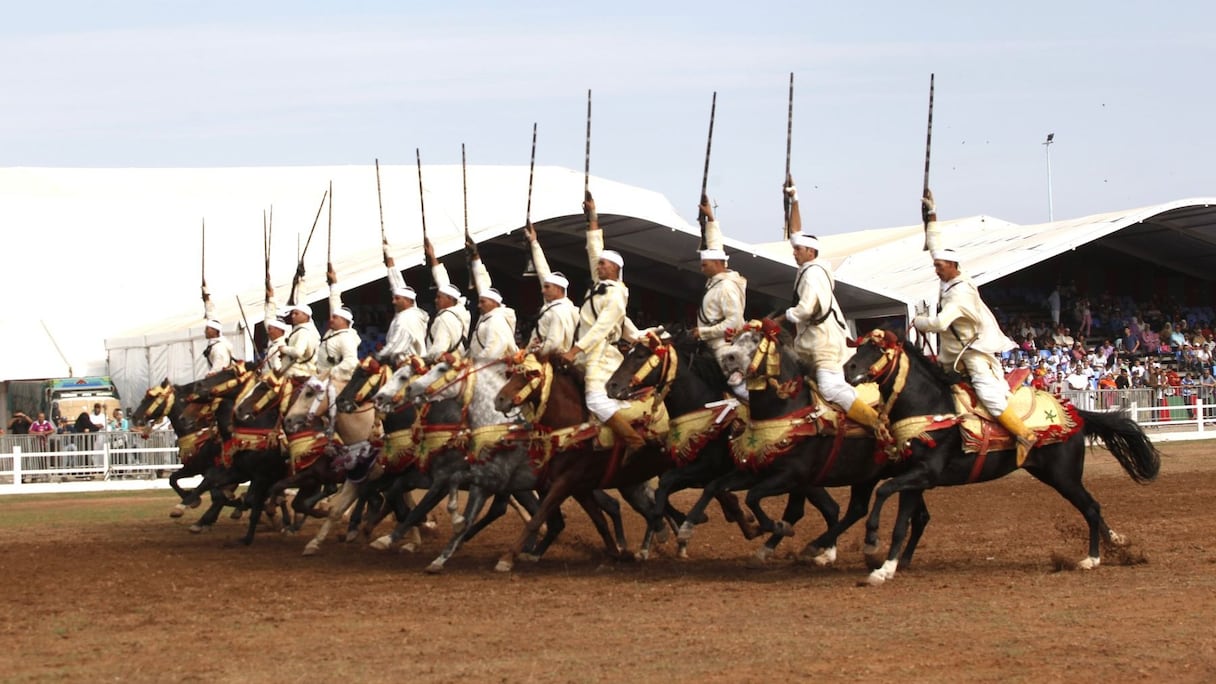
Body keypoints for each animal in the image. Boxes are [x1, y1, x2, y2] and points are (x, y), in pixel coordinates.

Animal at [846, 328, 1157, 584]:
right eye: (859, 346)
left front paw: (871, 540)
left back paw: (1092, 559)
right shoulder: (914, 477)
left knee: (1091, 507)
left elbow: (884, 491)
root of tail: (1075, 414)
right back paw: (1116, 542)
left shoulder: (925, 473)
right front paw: (885, 569)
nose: (848, 368)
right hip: (1053, 475)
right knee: (1093, 508)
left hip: (1063, 477)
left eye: (877, 349)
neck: (933, 407)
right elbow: (902, 522)